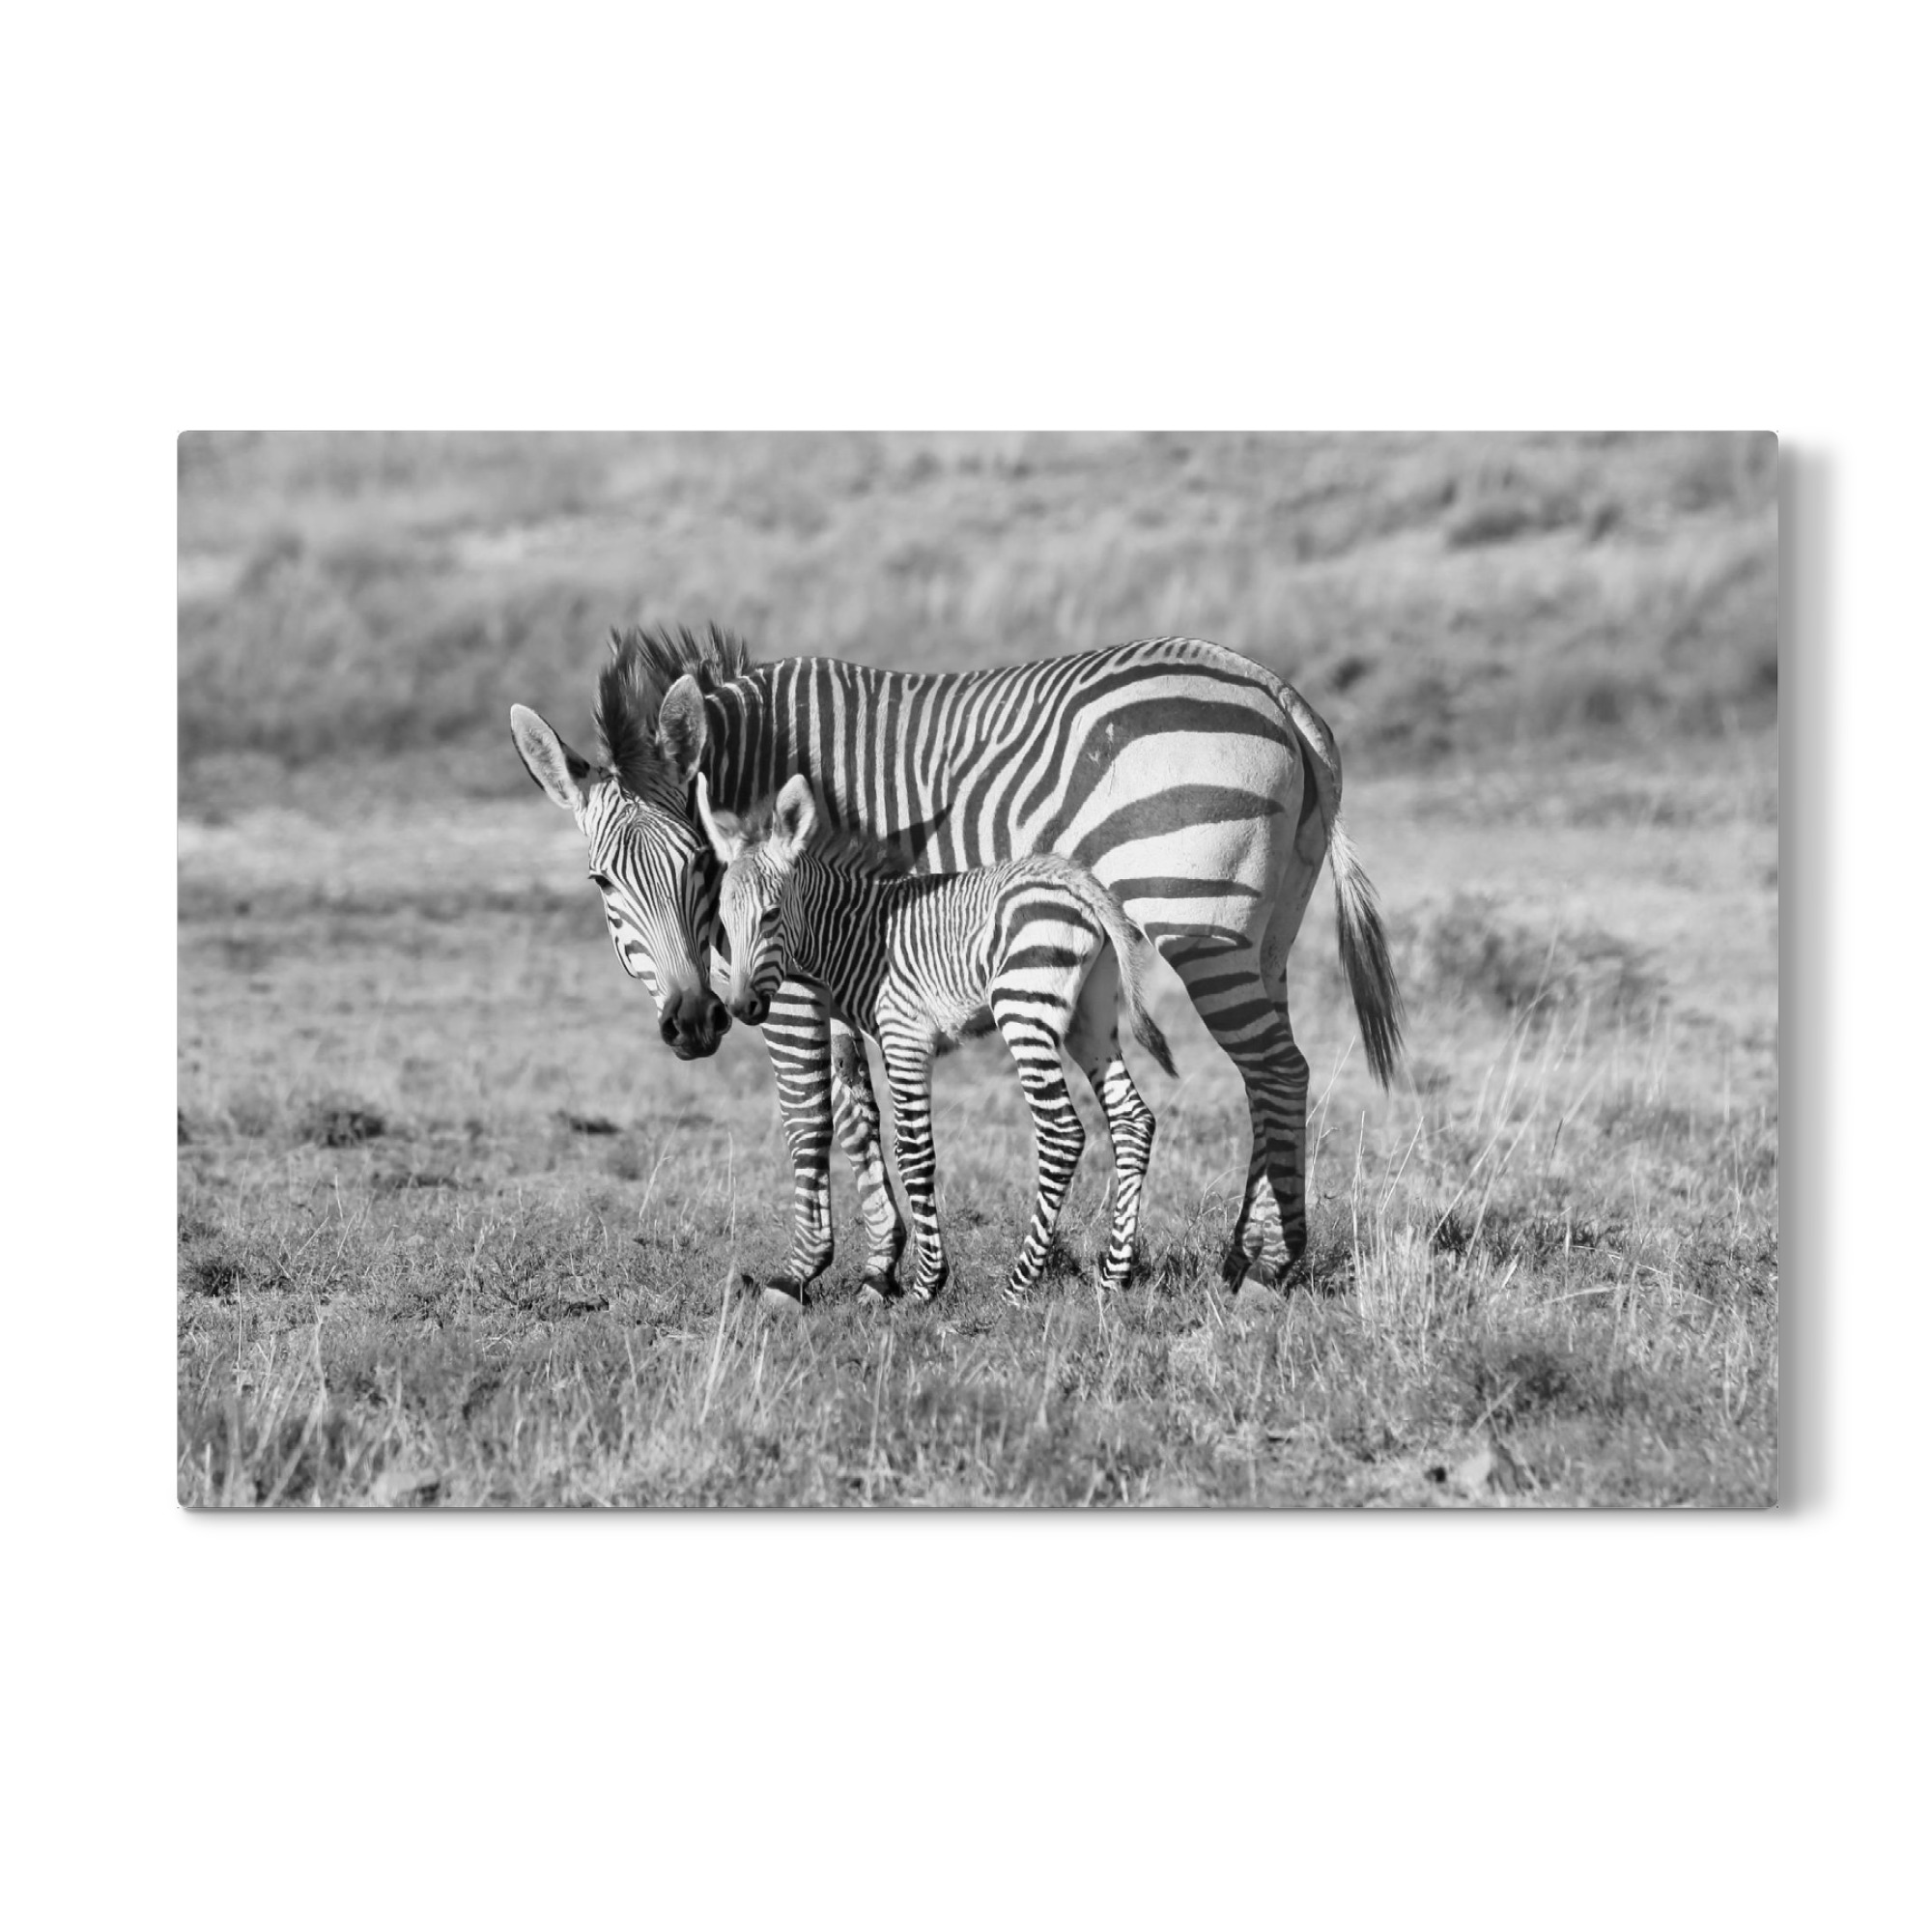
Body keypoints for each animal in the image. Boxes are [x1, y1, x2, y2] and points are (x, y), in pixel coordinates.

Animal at [695, 771, 1176, 1304]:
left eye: (771, 914)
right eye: (723, 920)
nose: (741, 1007)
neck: (853, 935)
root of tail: (1076, 879)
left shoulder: (905, 1037)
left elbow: (913, 1152)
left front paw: (926, 1284)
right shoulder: (876, 1037)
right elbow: (878, 1132)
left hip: (1023, 1007)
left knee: (1062, 1133)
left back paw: (1018, 1282)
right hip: (1089, 1019)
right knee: (1133, 1121)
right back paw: (1114, 1276)